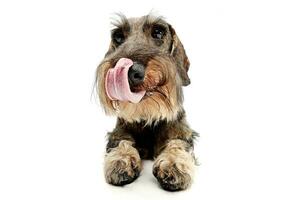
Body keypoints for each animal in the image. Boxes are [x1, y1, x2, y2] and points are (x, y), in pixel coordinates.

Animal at [95, 14, 197, 191]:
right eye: (118, 36)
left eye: (158, 32)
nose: (131, 72)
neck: (148, 114)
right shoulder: (119, 130)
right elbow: (121, 141)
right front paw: (121, 160)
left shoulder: (183, 131)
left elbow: (178, 143)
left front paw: (173, 164)